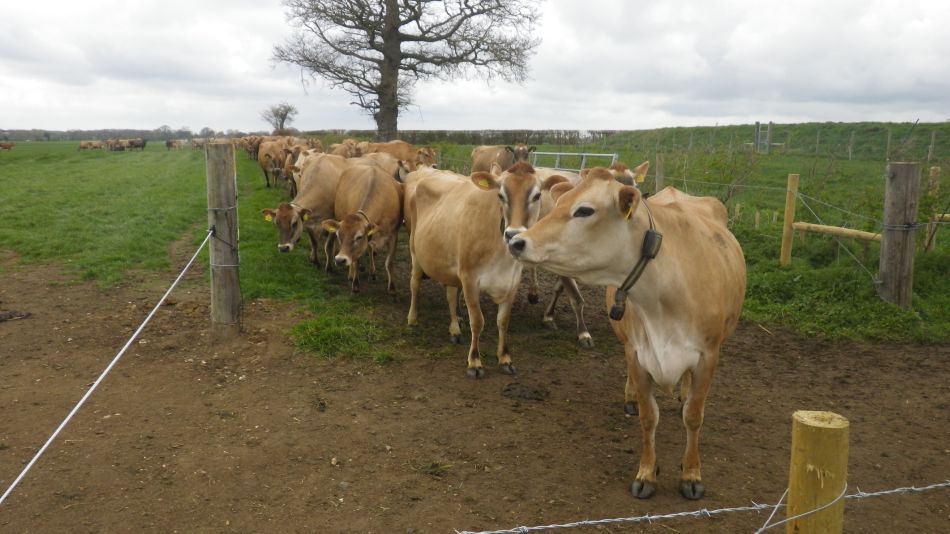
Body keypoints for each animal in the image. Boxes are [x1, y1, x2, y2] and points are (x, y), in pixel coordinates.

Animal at [321, 164, 403, 296]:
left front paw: (392, 288)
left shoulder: (393, 236)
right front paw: (355, 284)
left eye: (359, 236)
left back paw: (372, 272)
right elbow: (356, 260)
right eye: (339, 236)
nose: (340, 260)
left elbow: (389, 262)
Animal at [406, 162, 572, 378]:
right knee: (414, 284)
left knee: (450, 295)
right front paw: (474, 362)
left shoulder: (512, 281)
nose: (512, 234)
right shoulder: (469, 278)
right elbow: (477, 321)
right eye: (500, 195)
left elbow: (503, 321)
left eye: (537, 196)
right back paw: (412, 318)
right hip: (415, 250)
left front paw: (505, 358)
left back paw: (454, 329)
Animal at [506, 165, 746, 500]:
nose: (517, 241)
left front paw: (691, 474)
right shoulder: (638, 354)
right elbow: (648, 417)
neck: (665, 293)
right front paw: (646, 473)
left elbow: (693, 416)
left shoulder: (708, 356)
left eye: (585, 210)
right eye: (560, 200)